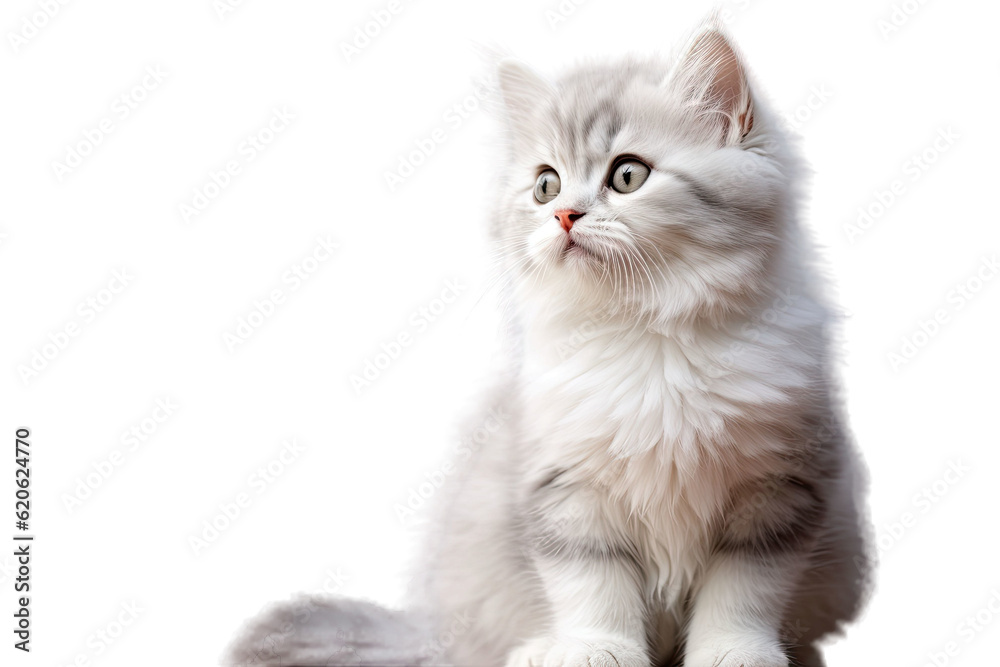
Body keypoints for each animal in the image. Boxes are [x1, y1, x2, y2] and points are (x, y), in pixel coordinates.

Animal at [225, 19, 868, 667]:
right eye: (545, 185)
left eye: (628, 175)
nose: (564, 215)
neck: (650, 339)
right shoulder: (565, 487)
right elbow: (593, 584)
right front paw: (596, 650)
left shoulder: (780, 490)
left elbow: (742, 593)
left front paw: (735, 652)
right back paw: (538, 649)